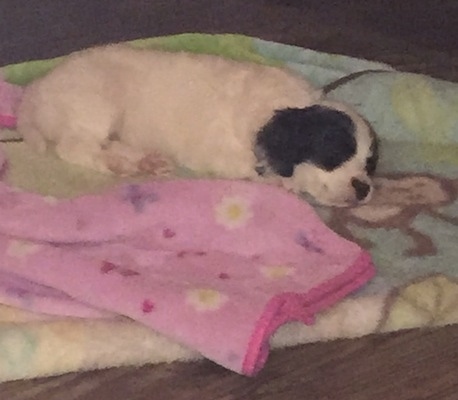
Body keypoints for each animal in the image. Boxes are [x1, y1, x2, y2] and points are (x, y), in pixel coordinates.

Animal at [16, 44, 378, 206]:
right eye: (333, 155)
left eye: (369, 165)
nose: (364, 188)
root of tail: (33, 94)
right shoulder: (223, 153)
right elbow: (254, 171)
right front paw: (279, 183)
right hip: (96, 103)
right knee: (75, 147)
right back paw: (115, 166)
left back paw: (143, 161)